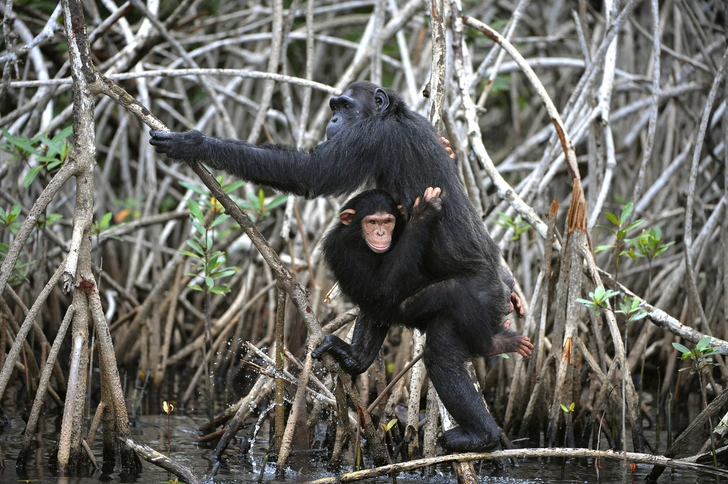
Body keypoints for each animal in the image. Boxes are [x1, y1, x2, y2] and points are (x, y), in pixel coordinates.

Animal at [151, 82, 528, 450]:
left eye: (346, 107)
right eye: (334, 107)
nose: (333, 121)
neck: (390, 115)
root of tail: (503, 287)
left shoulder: (368, 137)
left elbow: (310, 173)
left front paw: (194, 143)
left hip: (479, 300)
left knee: (442, 354)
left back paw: (481, 433)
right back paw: (356, 359)